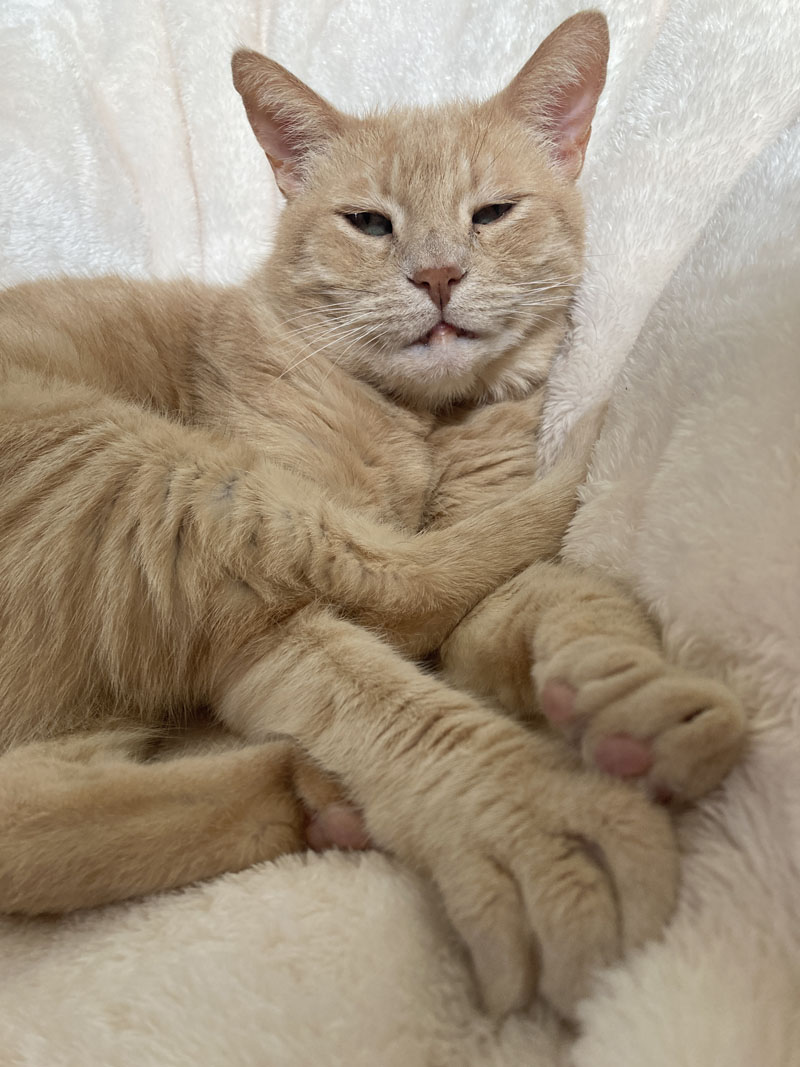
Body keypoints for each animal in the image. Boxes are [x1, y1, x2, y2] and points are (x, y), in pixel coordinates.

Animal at [0, 12, 746, 1020]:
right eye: (368, 223)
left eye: (491, 213)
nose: (436, 274)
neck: (424, 425)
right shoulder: (262, 626)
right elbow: (396, 700)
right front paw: (530, 811)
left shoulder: (483, 595)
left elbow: (561, 600)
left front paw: (628, 691)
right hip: (148, 471)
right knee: (397, 578)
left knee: (40, 822)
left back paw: (306, 791)